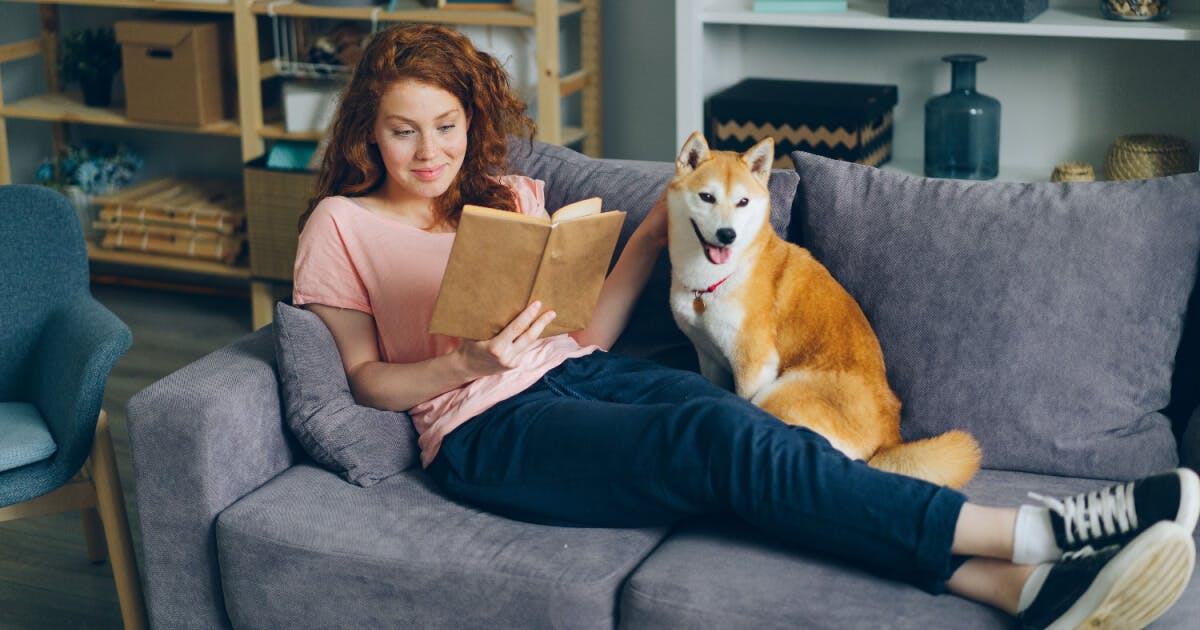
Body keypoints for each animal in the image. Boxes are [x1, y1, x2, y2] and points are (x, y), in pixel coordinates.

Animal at [672, 131, 979, 487]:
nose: (727, 235)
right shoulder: (708, 357)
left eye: (743, 202)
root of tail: (888, 442)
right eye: (707, 197)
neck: (713, 281)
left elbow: (741, 400)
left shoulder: (753, 361)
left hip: (778, 394)